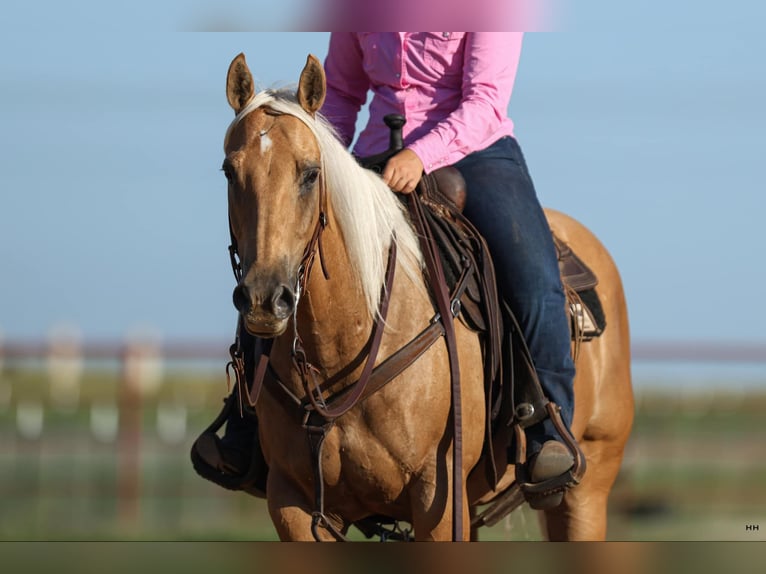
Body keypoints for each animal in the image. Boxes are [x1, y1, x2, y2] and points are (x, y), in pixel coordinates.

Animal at [220, 51, 636, 544]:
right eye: (229, 172)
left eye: (310, 173)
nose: (266, 299)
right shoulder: (292, 504)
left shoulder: (437, 496)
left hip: (587, 487)